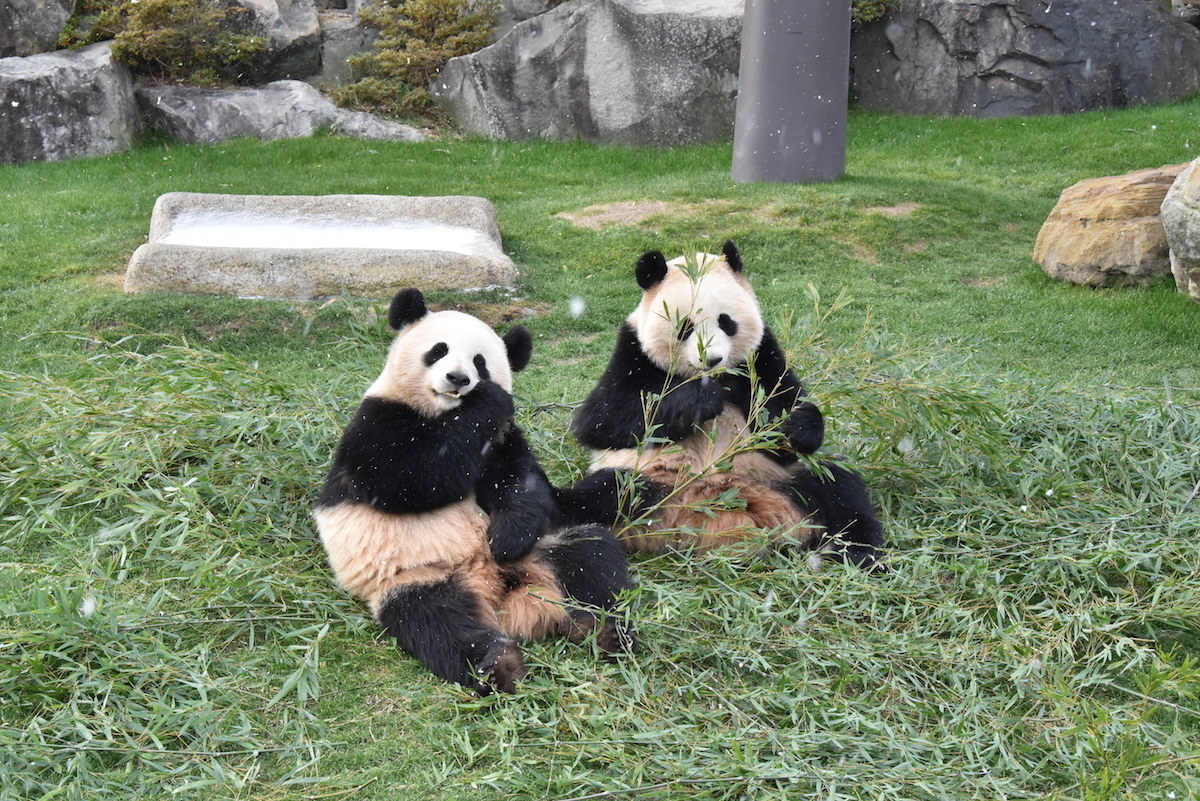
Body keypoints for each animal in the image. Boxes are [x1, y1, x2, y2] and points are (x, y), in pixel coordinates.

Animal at [566, 239, 888, 568]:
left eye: (726, 322)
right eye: (685, 327)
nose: (712, 359)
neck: (715, 377)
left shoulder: (762, 357)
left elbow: (784, 418)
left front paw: (795, 424)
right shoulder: (633, 353)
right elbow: (604, 421)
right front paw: (701, 400)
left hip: (781, 481)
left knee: (839, 488)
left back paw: (863, 555)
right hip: (652, 480)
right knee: (605, 491)